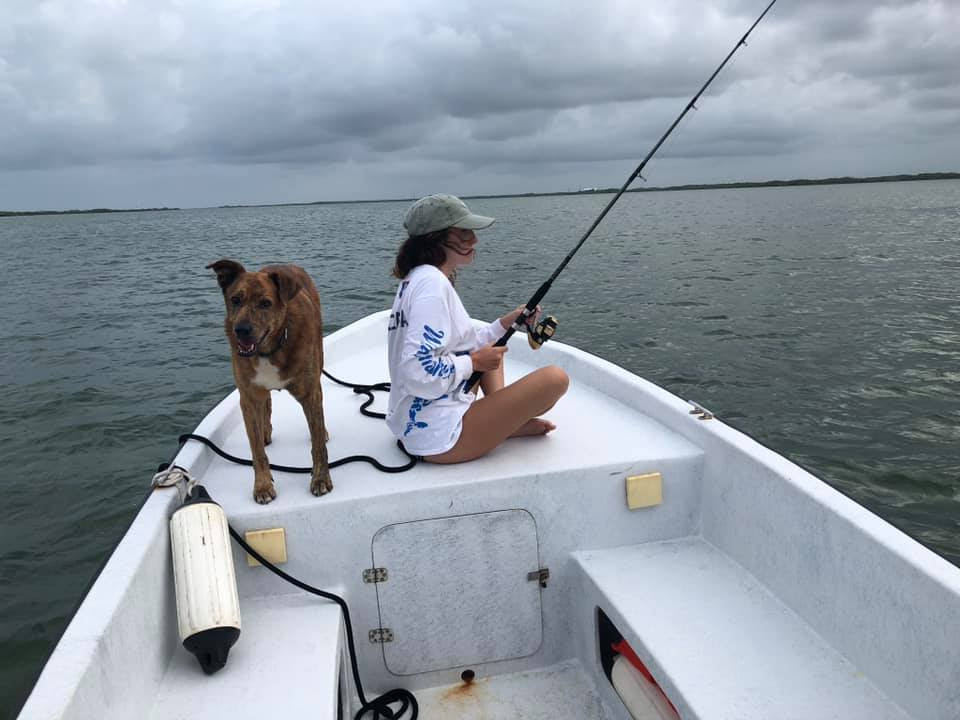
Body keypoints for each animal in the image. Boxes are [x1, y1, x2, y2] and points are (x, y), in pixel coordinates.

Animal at [208, 260, 332, 506]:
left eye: (265, 303)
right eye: (235, 299)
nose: (241, 330)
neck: (270, 349)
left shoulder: (310, 393)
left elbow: (317, 445)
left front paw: (321, 479)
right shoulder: (247, 397)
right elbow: (256, 450)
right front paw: (262, 485)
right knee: (266, 405)